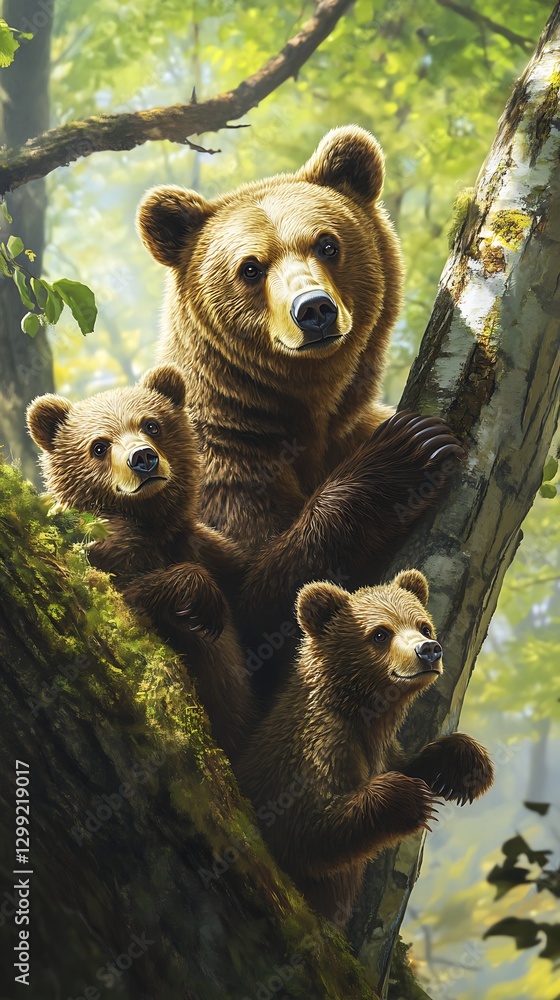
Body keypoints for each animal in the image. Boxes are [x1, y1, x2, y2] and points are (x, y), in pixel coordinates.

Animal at [26, 365, 256, 761]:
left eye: (152, 424)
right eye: (99, 445)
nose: (143, 458)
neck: (152, 524)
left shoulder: (205, 545)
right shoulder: (105, 551)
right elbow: (122, 599)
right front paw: (202, 604)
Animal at [137, 126, 463, 697]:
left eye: (327, 244)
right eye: (250, 267)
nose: (313, 309)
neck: (303, 411)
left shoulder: (348, 428)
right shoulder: (219, 467)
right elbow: (259, 604)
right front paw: (412, 451)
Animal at [234, 570, 494, 924]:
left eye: (424, 626)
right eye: (380, 633)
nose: (428, 650)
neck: (363, 713)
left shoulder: (383, 750)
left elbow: (411, 763)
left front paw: (465, 765)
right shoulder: (314, 747)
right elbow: (302, 830)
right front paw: (408, 798)